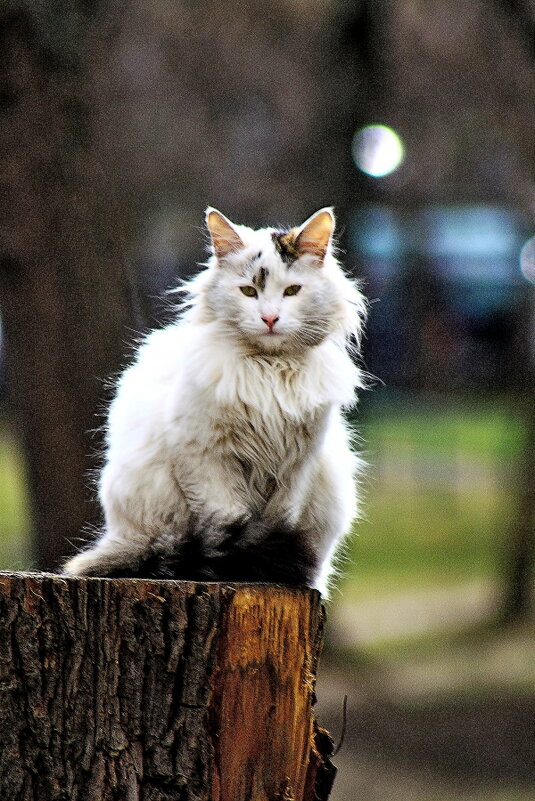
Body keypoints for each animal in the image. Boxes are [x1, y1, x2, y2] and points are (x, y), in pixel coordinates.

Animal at [60, 206, 366, 592]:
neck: (269, 369)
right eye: (248, 291)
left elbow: (280, 520)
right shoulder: (203, 455)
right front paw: (236, 564)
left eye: (292, 291)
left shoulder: (299, 464)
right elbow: (225, 522)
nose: (270, 318)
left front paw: (268, 566)